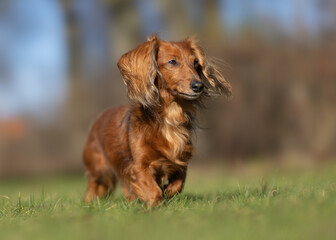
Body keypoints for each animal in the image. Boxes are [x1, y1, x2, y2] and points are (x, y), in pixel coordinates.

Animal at [82, 34, 232, 206]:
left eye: (195, 62)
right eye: (172, 61)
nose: (198, 86)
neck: (169, 117)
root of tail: (97, 119)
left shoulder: (180, 160)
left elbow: (179, 183)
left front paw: (167, 192)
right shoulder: (138, 165)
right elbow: (152, 189)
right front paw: (156, 205)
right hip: (100, 171)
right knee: (94, 186)